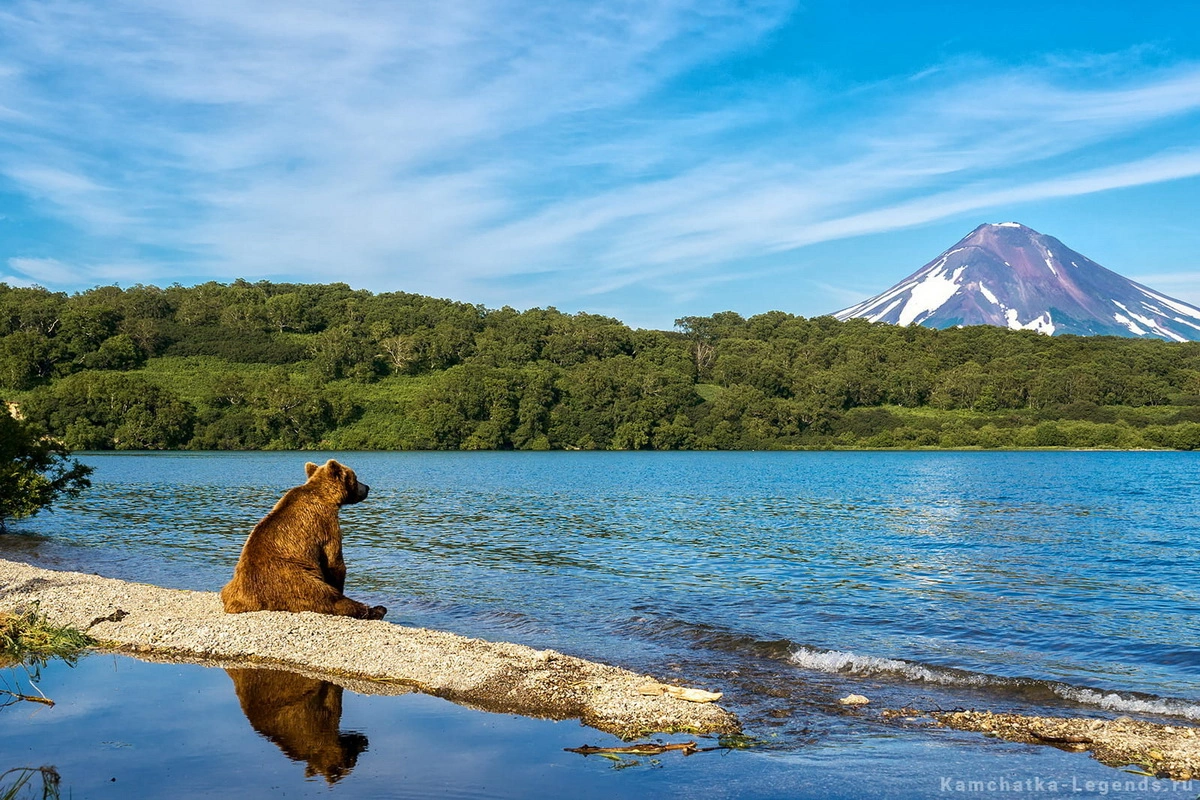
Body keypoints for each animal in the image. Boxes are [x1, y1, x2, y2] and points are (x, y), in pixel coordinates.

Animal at [217, 460, 384, 623]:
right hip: (293, 580)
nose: (367, 487)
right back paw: (377, 610)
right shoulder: (326, 524)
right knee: (327, 598)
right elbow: (334, 561)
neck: (325, 495)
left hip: (233, 584)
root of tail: (242, 601)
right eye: (355, 478)